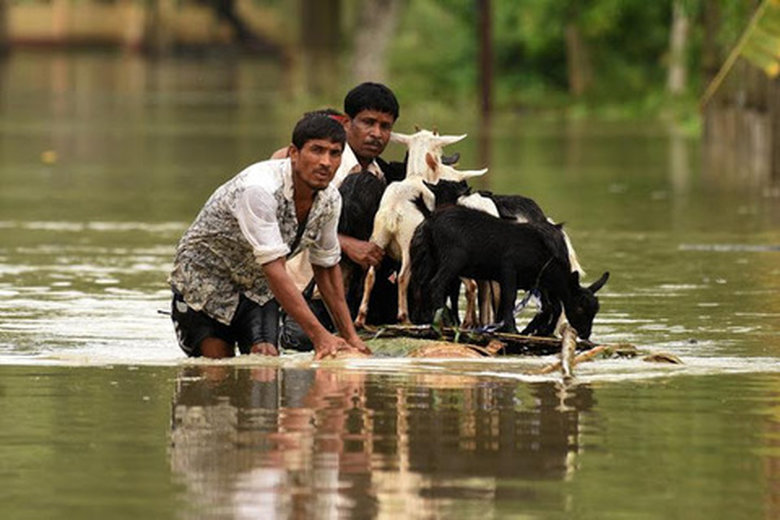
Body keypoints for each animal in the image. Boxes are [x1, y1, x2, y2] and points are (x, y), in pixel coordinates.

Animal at [412, 191, 608, 338]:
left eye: (596, 310)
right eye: (580, 307)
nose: (585, 334)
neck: (545, 261)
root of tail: (431, 218)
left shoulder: (532, 283)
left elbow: (547, 307)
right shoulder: (509, 270)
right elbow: (510, 299)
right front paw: (513, 329)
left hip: (430, 259)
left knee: (424, 285)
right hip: (452, 259)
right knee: (436, 285)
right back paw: (442, 320)